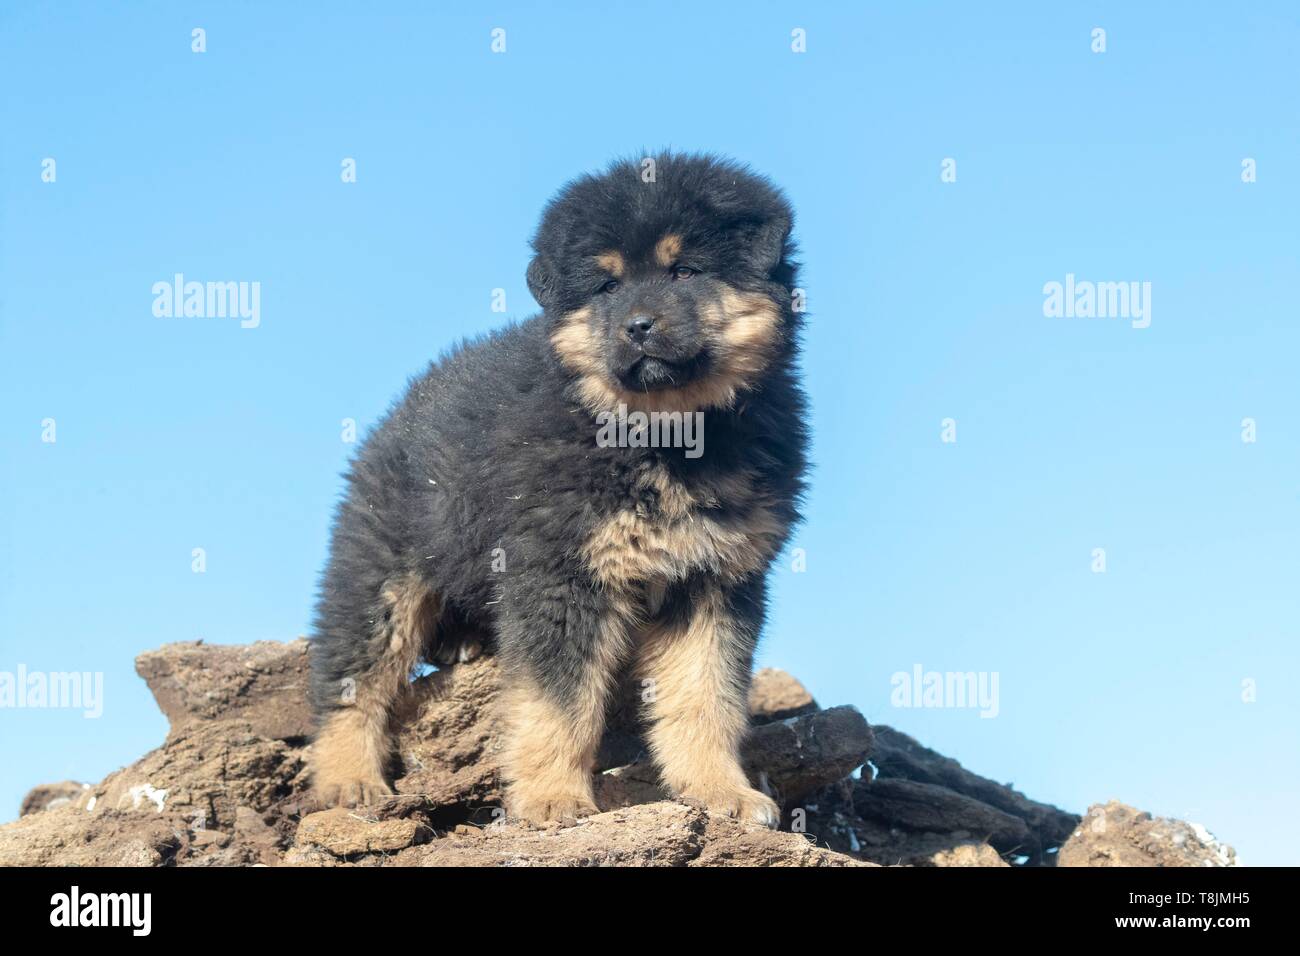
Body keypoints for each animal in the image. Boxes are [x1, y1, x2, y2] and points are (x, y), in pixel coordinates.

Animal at [309, 153, 806, 827]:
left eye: (685, 270)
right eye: (606, 286)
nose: (638, 326)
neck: (668, 434)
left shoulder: (716, 578)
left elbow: (706, 696)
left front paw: (720, 790)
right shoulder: (560, 571)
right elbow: (557, 701)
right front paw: (551, 799)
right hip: (380, 565)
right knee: (353, 674)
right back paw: (347, 779)